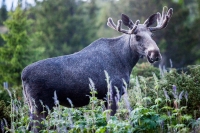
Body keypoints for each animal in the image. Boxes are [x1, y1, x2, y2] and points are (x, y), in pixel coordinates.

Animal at [21, 5, 173, 131]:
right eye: (137, 36)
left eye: (152, 35)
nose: (155, 53)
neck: (126, 62)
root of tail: (23, 76)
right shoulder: (113, 92)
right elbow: (112, 121)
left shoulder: (105, 97)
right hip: (40, 106)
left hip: (32, 105)